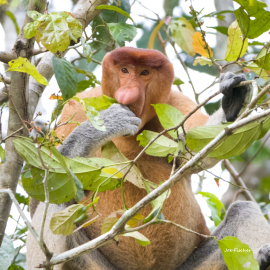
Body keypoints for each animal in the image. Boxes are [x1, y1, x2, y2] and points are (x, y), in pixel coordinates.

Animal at [26, 48, 270, 270]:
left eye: (145, 72)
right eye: (124, 70)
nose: (128, 93)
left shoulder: (174, 102)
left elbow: (200, 149)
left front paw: (233, 98)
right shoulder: (78, 106)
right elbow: (44, 188)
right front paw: (108, 121)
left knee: (244, 210)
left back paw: (262, 259)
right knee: (57, 203)